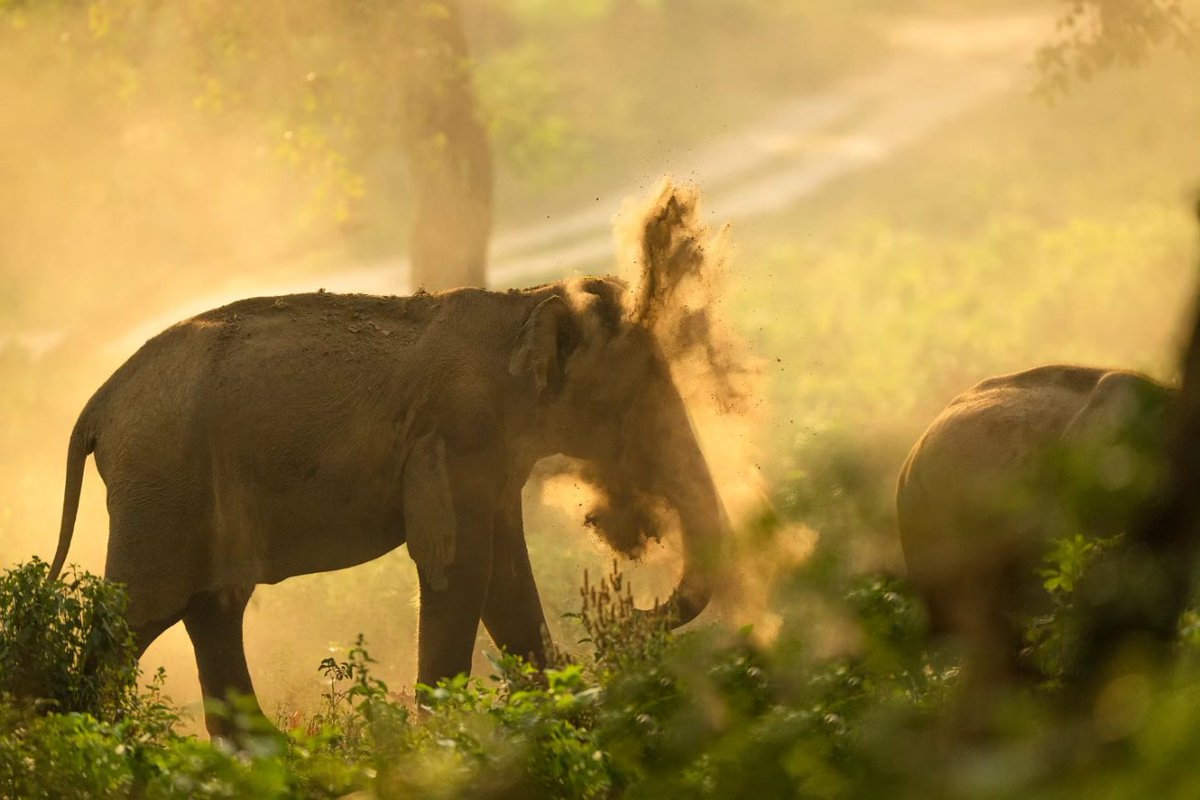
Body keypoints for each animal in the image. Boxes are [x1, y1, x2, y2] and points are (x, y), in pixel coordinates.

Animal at [47, 276, 726, 735]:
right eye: (631, 399)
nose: (632, 609)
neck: (522, 302)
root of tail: (96, 407)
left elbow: (504, 576)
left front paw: (568, 713)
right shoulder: (454, 435)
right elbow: (458, 566)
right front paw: (441, 742)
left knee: (212, 610)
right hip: (158, 492)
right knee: (137, 619)